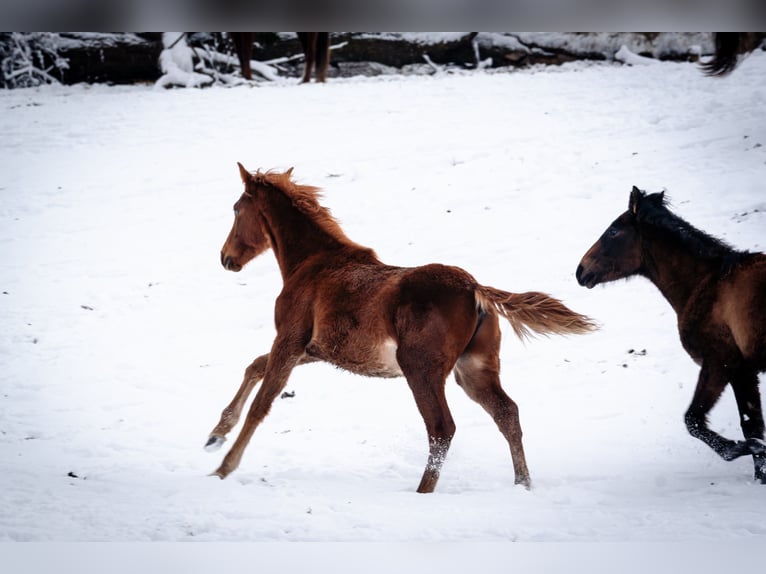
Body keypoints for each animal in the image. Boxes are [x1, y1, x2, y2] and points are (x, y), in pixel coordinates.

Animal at [205, 164, 597, 493]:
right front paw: (215, 435)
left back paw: (422, 492)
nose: (225, 258)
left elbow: (261, 404)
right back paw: (523, 484)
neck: (313, 265)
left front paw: (223, 467)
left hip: (420, 369)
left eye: (237, 210)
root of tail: (474, 288)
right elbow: (254, 366)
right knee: (507, 414)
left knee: (442, 428)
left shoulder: (289, 341)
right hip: (473, 369)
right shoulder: (314, 350)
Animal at [576, 187, 766, 483]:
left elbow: (695, 421)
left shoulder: (721, 363)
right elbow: (752, 426)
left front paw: (741, 448)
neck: (707, 285)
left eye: (613, 232)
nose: (580, 271)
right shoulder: (744, 371)